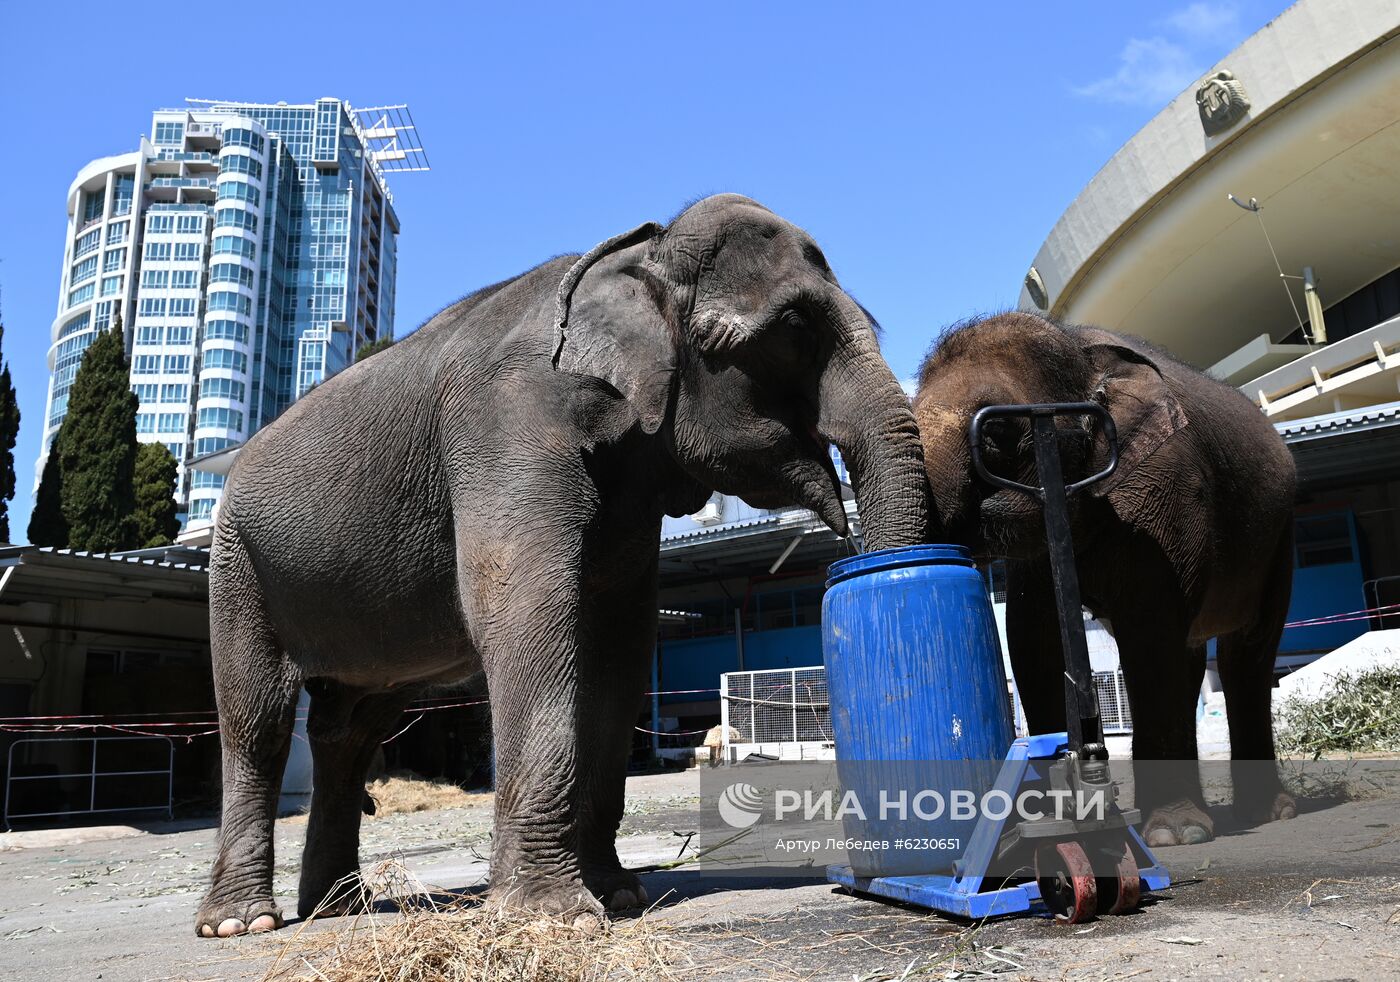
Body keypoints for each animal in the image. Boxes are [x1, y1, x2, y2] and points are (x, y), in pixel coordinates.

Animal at [189, 191, 929, 935]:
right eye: (795, 327)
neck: (639, 255)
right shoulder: (507, 424)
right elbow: (525, 613)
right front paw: (556, 916)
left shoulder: (630, 489)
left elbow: (618, 648)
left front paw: (620, 895)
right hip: (238, 565)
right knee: (258, 720)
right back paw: (241, 922)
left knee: (348, 730)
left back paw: (339, 908)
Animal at [912, 312, 1293, 840]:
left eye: (1000, 432)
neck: (1077, 347)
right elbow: (1034, 639)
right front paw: (1048, 817)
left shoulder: (1166, 486)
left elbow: (1148, 635)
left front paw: (1173, 834)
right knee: (1193, 654)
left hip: (1279, 536)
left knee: (1244, 657)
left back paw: (1267, 814)